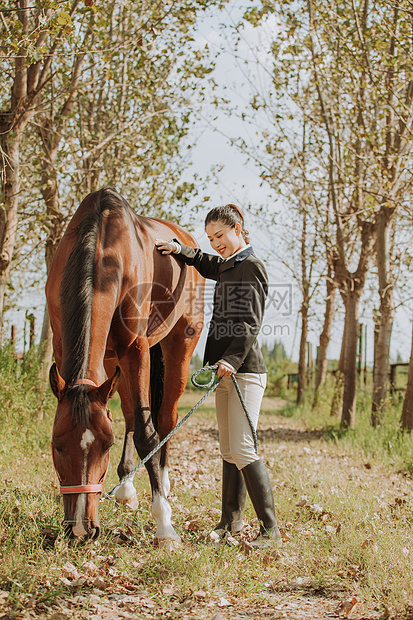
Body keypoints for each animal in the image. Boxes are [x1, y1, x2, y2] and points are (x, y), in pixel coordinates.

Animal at [45, 186, 204, 540]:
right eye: (57, 445)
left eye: (106, 445)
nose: (81, 529)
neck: (103, 247)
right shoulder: (66, 350)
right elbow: (132, 421)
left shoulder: (136, 349)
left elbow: (147, 433)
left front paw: (164, 525)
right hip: (112, 361)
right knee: (132, 415)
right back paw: (127, 488)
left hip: (178, 349)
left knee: (165, 419)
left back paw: (164, 483)